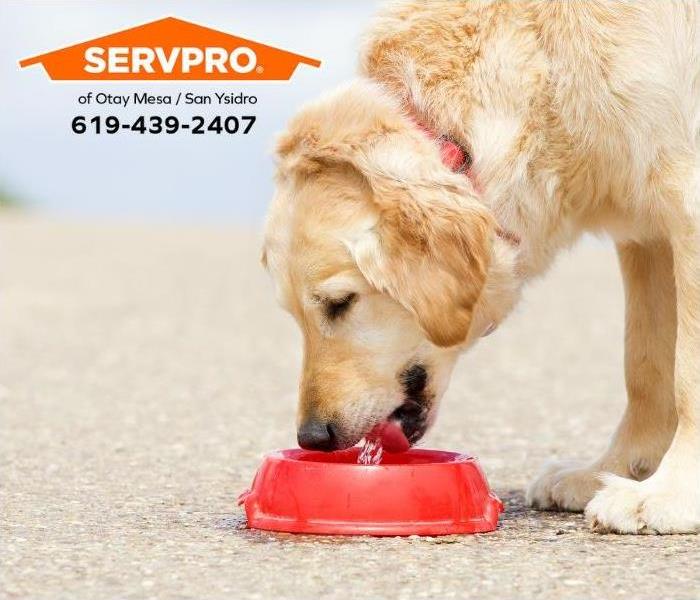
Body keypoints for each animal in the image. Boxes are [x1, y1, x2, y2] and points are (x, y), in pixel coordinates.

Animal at [262, 0, 700, 536]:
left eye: (339, 303)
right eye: (294, 315)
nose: (313, 438)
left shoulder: (687, 201)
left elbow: (686, 375)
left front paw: (670, 494)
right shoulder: (645, 233)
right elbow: (644, 367)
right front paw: (610, 472)